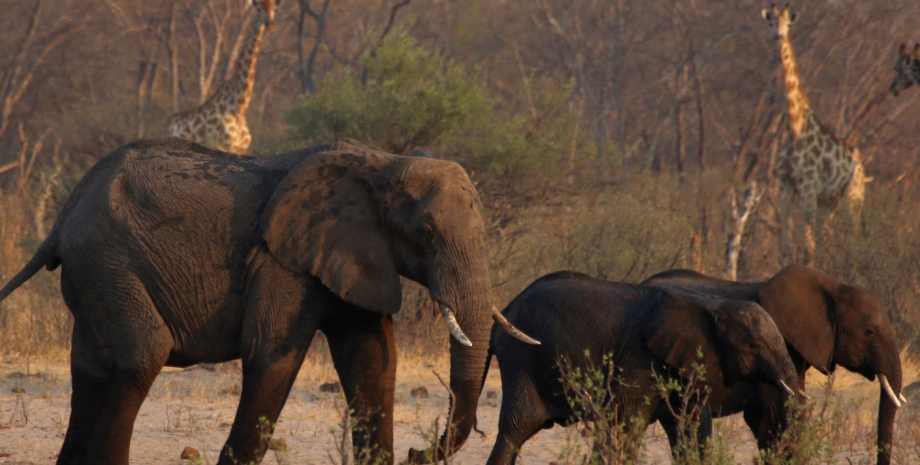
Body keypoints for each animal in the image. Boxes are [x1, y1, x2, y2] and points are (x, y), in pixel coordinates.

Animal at [0, 138, 540, 464]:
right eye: (425, 233)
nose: (419, 452)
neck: (383, 161)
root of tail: (63, 216)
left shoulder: (352, 255)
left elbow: (374, 360)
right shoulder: (282, 261)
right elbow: (273, 357)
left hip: (93, 272)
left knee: (91, 368)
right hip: (108, 261)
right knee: (142, 356)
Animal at [166, 0, 276, 156]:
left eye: (275, 9)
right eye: (259, 9)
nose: (270, 24)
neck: (239, 107)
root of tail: (168, 126)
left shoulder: (240, 149)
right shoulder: (223, 146)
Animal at [468, 270, 796, 462]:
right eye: (755, 347)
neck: (712, 304)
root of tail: (503, 311)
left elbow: (690, 426)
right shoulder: (639, 357)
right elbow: (625, 423)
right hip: (522, 357)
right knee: (515, 428)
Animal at [760, 3, 868, 266]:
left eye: (788, 24)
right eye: (771, 23)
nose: (779, 36)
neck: (794, 127)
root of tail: (862, 165)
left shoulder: (808, 186)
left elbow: (808, 248)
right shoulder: (785, 185)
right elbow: (787, 247)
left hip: (854, 196)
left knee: (851, 238)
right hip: (829, 201)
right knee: (827, 235)